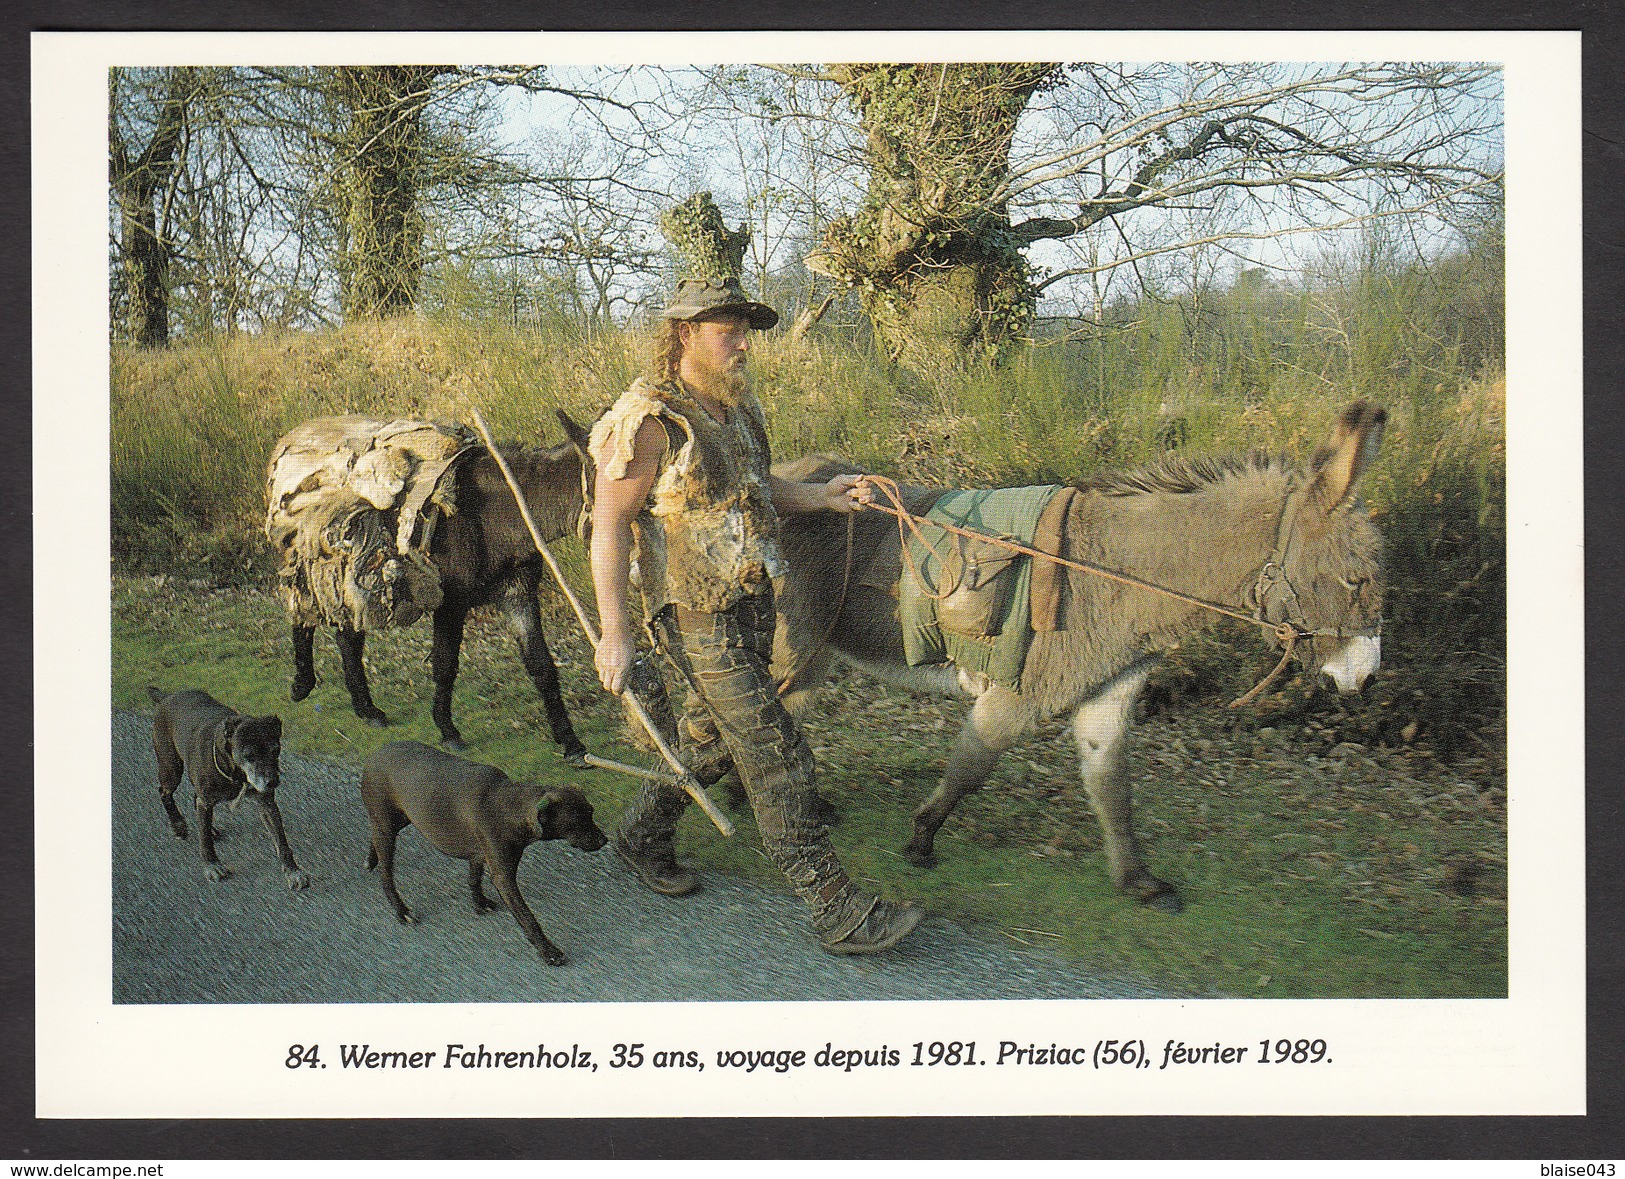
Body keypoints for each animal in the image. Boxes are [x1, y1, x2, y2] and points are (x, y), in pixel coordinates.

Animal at [149, 688, 310, 889]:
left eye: (276, 750)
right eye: (249, 755)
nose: (272, 781)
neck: (237, 773)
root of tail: (166, 696)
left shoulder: (266, 803)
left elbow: (281, 840)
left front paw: (293, 871)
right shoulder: (206, 801)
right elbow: (205, 841)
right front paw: (212, 866)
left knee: (194, 800)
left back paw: (209, 828)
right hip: (171, 767)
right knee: (165, 793)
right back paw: (178, 824)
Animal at [359, 747, 607, 967]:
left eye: (591, 812)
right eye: (577, 821)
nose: (604, 840)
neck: (509, 807)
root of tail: (372, 756)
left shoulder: (479, 854)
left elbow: (473, 879)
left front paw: (479, 903)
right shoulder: (503, 878)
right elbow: (528, 918)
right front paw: (549, 952)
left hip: (399, 820)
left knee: (374, 837)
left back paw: (371, 860)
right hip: (387, 827)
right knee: (386, 876)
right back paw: (401, 911)